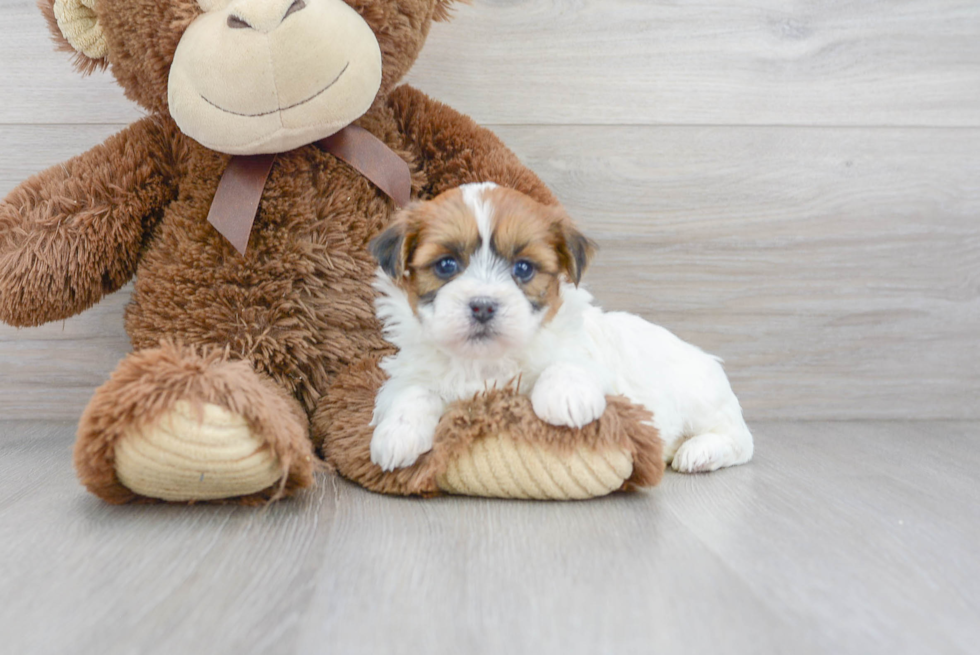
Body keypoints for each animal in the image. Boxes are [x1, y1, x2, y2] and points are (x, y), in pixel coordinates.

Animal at [364, 182, 756, 474]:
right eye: (446, 265)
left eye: (523, 269)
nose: (483, 305)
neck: (487, 361)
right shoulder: (412, 371)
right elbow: (412, 392)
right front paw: (397, 434)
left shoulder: (592, 363)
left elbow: (566, 363)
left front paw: (566, 398)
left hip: (701, 399)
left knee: (740, 439)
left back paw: (700, 452)